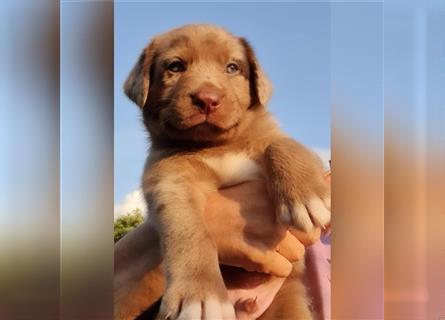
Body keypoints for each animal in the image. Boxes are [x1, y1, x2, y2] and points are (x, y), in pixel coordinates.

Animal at [121, 23, 330, 318]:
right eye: (175, 66)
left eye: (232, 67)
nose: (207, 99)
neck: (216, 146)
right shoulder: (169, 179)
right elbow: (187, 230)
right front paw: (199, 295)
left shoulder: (272, 136)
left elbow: (281, 144)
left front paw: (306, 199)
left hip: (290, 302)